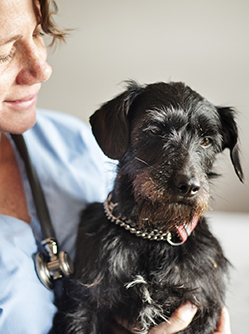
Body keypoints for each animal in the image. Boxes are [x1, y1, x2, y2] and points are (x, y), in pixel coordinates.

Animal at [54, 81, 243, 334]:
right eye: (155, 130)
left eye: (206, 140)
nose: (189, 186)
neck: (151, 235)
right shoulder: (84, 303)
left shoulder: (203, 307)